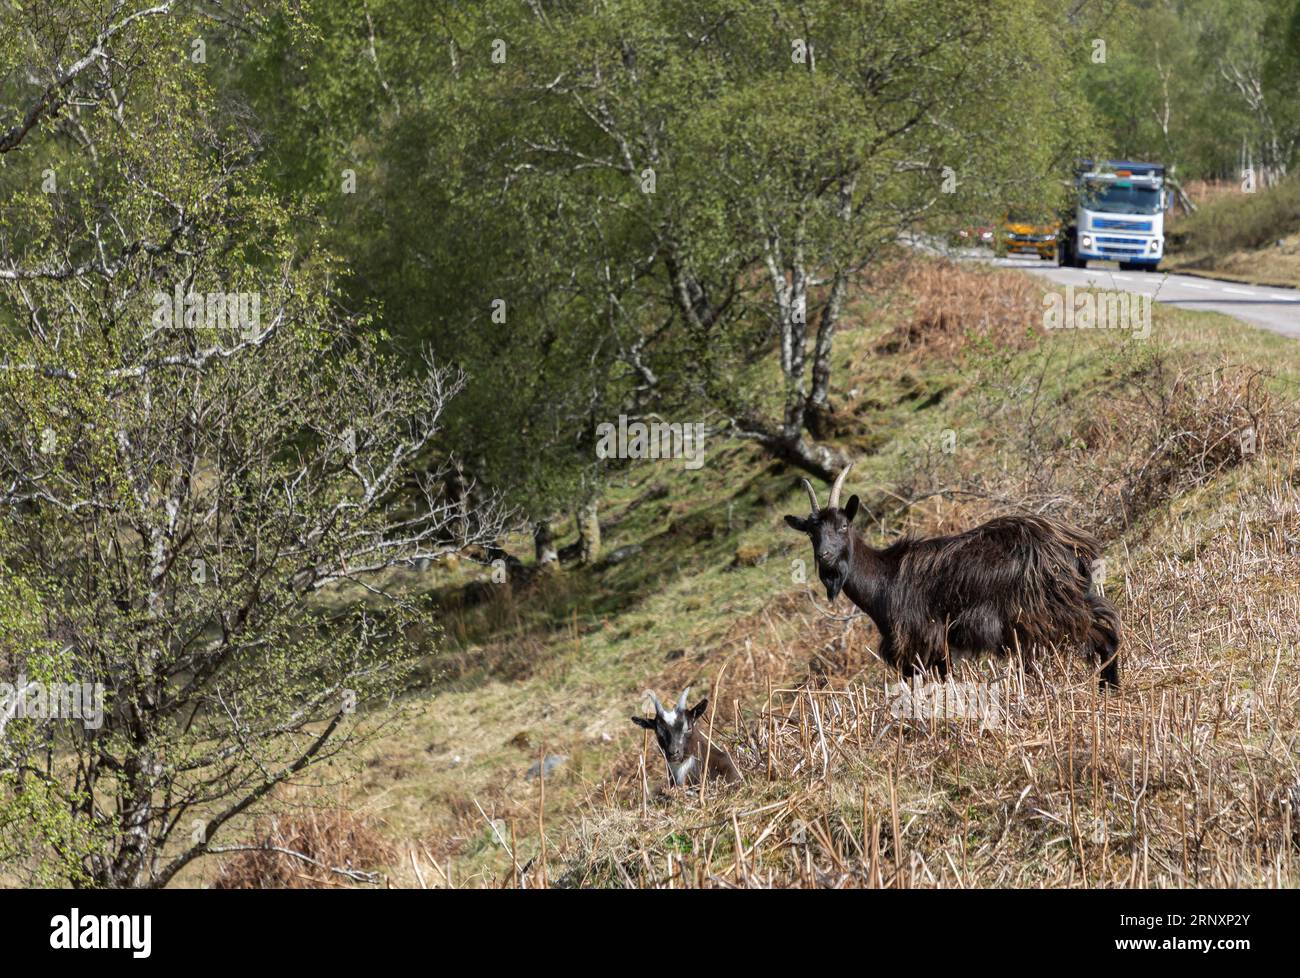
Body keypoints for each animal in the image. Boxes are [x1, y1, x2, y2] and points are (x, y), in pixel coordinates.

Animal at [784, 464, 1122, 687]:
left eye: (843, 526)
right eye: (812, 533)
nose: (825, 557)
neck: (885, 578)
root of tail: (1073, 544)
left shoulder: (925, 644)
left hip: (1048, 611)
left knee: (1102, 634)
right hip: (1068, 601)